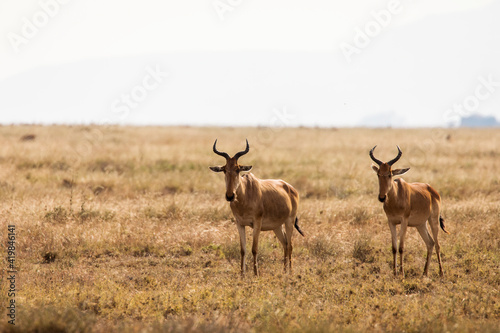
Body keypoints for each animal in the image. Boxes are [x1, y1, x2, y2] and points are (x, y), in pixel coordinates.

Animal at [208, 138, 302, 274]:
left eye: (238, 169)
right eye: (224, 169)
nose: (230, 196)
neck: (246, 194)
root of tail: (291, 188)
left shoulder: (257, 223)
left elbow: (254, 249)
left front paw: (256, 274)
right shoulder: (239, 224)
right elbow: (243, 250)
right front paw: (242, 274)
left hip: (289, 221)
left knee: (290, 245)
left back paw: (290, 272)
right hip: (277, 226)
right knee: (284, 243)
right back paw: (284, 271)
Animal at [372, 145, 450, 278]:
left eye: (390, 174)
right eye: (378, 174)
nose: (382, 197)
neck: (397, 196)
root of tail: (432, 190)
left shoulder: (404, 221)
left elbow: (401, 247)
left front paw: (402, 274)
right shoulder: (391, 222)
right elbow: (394, 247)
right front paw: (394, 273)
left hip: (433, 220)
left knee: (437, 244)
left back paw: (441, 273)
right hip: (420, 224)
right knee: (430, 243)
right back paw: (425, 272)